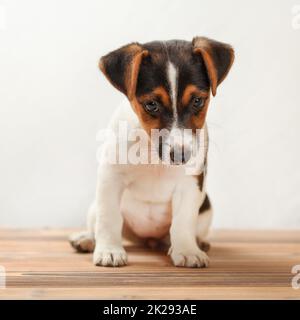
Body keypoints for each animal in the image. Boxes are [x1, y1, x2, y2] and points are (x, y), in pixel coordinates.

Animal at [69, 37, 234, 268]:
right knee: (98, 224)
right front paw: (109, 250)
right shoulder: (111, 177)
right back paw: (86, 239)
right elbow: (109, 218)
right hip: (94, 207)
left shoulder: (190, 183)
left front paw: (187, 250)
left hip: (206, 208)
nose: (181, 155)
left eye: (197, 101)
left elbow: (183, 221)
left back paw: (198, 242)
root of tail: (148, 240)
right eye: (151, 104)